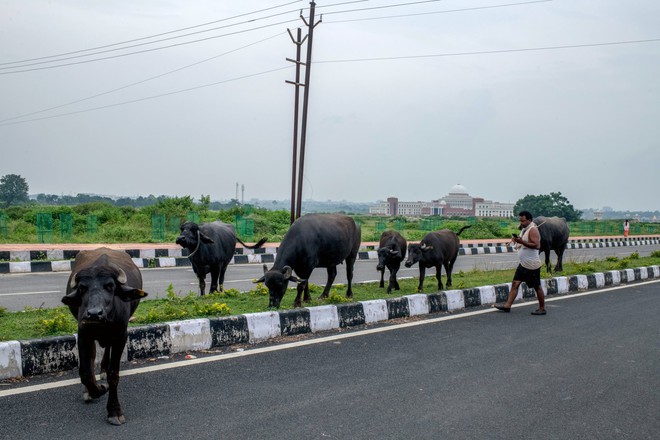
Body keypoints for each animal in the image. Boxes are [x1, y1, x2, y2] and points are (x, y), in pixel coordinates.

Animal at [61, 246, 148, 424]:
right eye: (82, 287)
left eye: (110, 286)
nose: (94, 314)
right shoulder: (84, 333)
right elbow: (85, 372)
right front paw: (96, 390)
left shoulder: (121, 336)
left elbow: (113, 374)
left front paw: (114, 411)